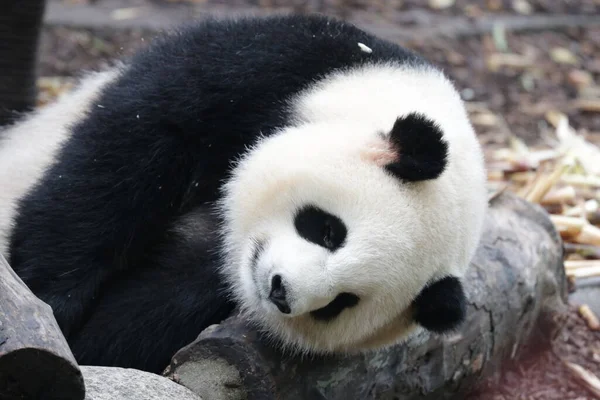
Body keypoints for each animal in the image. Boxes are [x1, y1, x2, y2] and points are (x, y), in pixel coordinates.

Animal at [0, 13, 488, 376]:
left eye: (341, 303)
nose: (280, 291)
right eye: (329, 230)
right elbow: (127, 154)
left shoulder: (210, 281)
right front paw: (51, 299)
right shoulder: (281, 66)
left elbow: (157, 308)